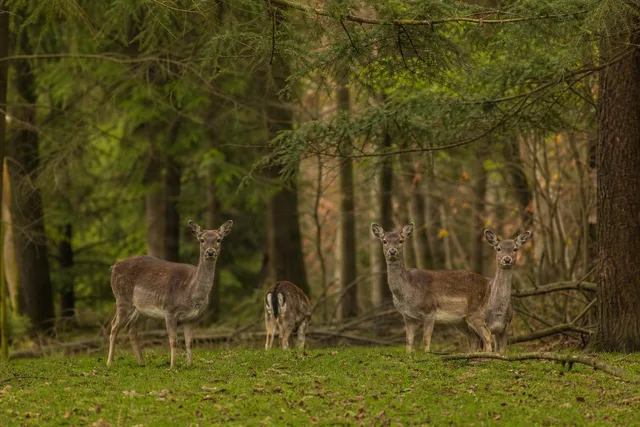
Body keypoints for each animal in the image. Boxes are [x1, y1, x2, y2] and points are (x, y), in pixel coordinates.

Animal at [106, 219, 233, 368]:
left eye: (219, 239)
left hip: (140, 309)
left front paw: (189, 365)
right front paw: (172, 366)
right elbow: (173, 340)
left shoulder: (193, 318)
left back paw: (141, 362)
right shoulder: (169, 310)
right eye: (201, 240)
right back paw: (110, 362)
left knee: (130, 328)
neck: (189, 290)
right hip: (122, 299)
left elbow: (189, 342)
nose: (210, 252)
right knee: (114, 326)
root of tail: (113, 267)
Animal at [371, 222, 492, 353]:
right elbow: (408, 340)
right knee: (475, 338)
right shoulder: (408, 317)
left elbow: (426, 338)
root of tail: (487, 283)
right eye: (384, 241)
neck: (407, 293)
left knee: (487, 335)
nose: (392, 251)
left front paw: (427, 353)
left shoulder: (429, 310)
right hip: (459, 320)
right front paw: (408, 354)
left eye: (401, 240)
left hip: (476, 310)